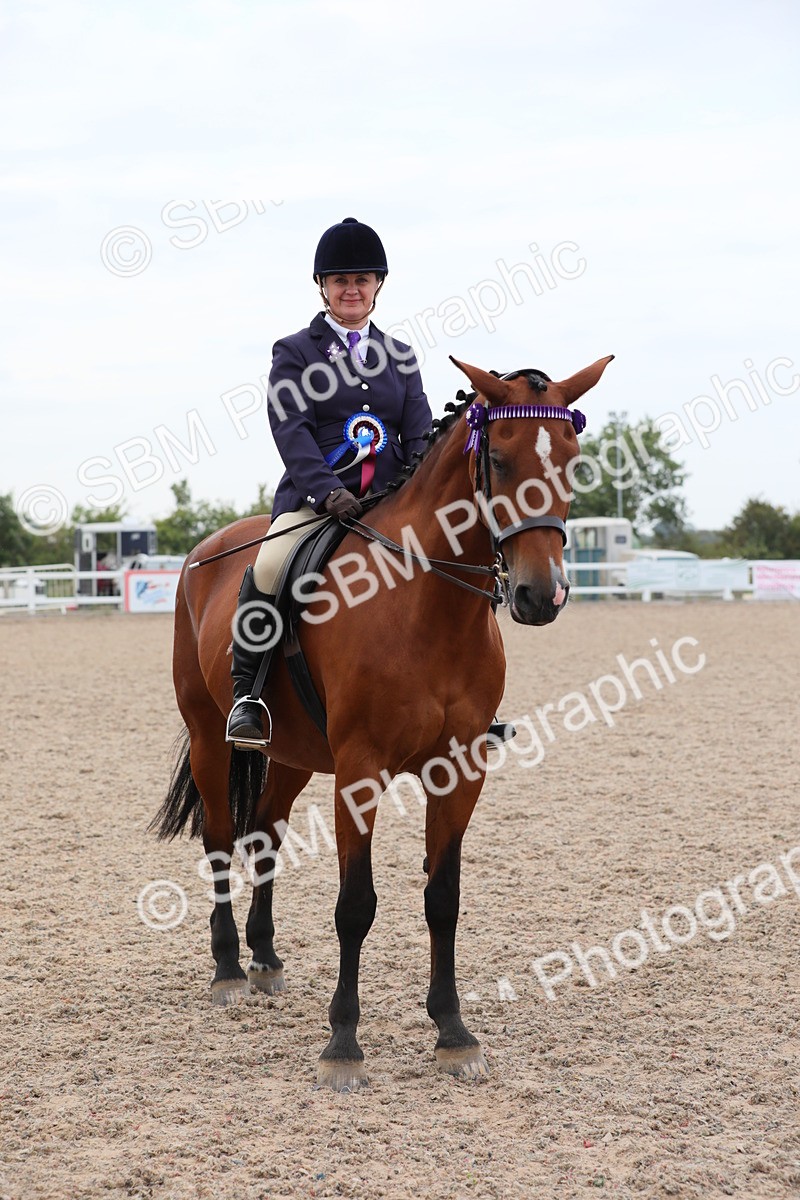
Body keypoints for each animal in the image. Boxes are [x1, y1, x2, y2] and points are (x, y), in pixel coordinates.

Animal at [151, 353, 614, 1091]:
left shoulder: (460, 768)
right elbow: (356, 905)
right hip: (208, 735)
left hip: (293, 754)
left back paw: (265, 959)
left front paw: (453, 1032)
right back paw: (227, 969)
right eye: (500, 460)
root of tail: (211, 548)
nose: (542, 595)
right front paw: (343, 1042)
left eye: (571, 458)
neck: (427, 604)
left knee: (264, 835)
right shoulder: (361, 768)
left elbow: (443, 896)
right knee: (221, 840)